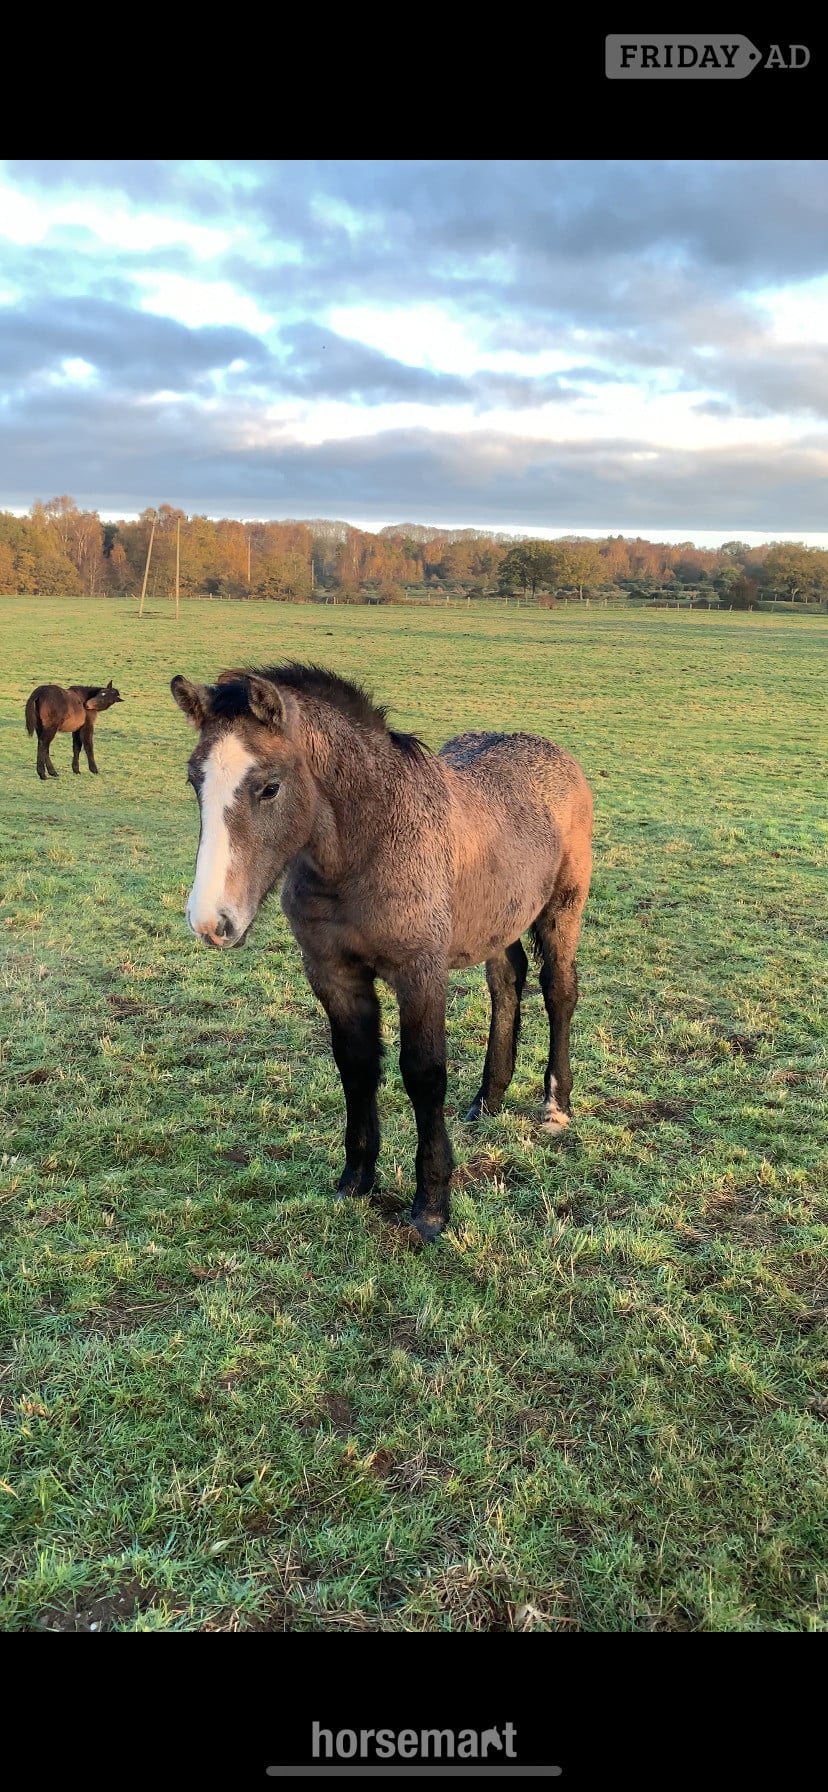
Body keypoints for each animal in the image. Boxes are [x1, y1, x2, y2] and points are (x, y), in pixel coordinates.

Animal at [171, 663, 593, 1242]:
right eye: (195, 781)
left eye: (269, 787)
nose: (211, 922)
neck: (364, 848)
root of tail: (556, 754)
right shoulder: (333, 973)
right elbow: (356, 1066)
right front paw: (356, 1179)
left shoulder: (420, 973)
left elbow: (423, 1074)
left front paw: (432, 1205)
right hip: (500, 918)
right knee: (507, 984)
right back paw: (487, 1100)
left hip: (562, 910)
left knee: (558, 991)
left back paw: (555, 1105)